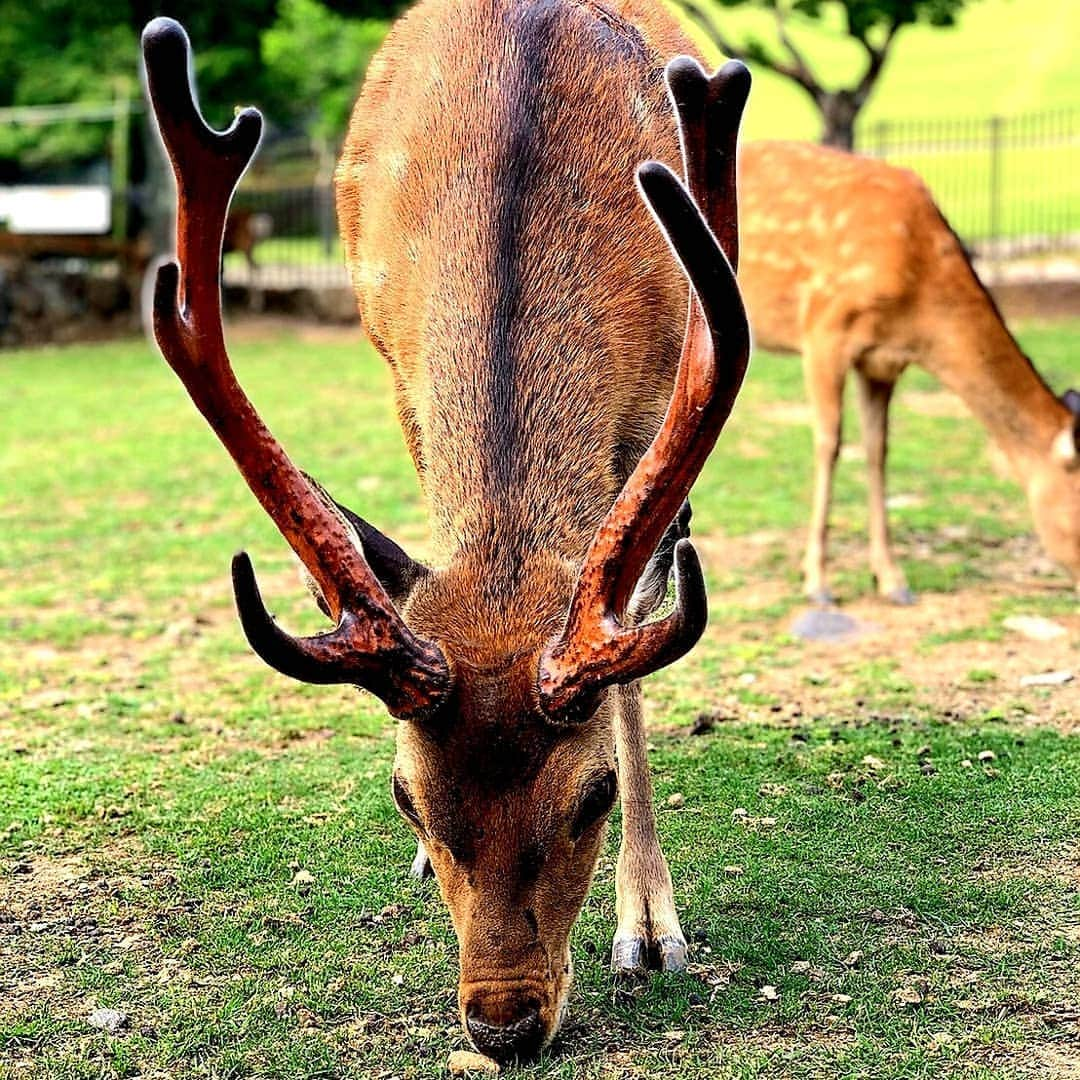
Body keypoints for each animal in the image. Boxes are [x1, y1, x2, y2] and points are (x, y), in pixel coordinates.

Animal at [141, 2, 751, 1062]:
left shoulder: (662, 395)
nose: (502, 1026)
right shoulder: (398, 373)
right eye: (405, 795)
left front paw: (650, 925)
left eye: (593, 796)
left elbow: (635, 654)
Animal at [738, 139, 1080, 604]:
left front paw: (891, 578)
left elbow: (877, 449)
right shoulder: (823, 330)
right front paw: (817, 581)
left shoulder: (883, 362)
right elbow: (829, 445)